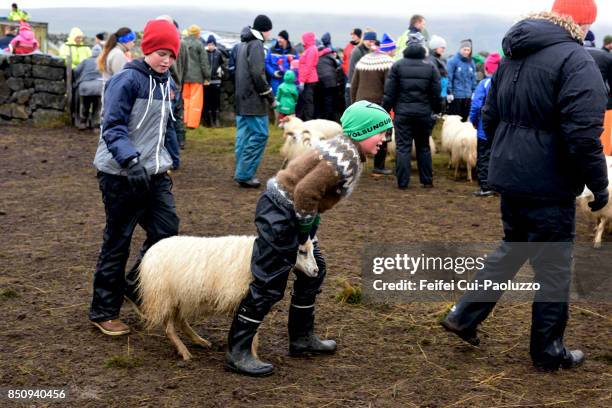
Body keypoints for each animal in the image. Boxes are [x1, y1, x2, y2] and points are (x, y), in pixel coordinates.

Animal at [137, 234, 318, 362]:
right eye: (302, 251)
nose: (316, 271)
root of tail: (149, 253)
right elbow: (252, 330)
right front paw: (252, 355)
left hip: (181, 298)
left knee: (181, 322)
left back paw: (200, 342)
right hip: (164, 296)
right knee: (169, 329)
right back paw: (185, 353)